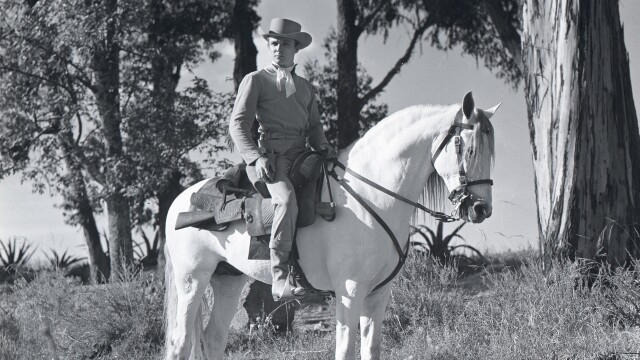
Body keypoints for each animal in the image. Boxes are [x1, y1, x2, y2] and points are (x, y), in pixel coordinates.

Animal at [164, 93, 500, 360]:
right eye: (468, 148)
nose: (481, 209)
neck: (371, 195)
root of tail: (180, 200)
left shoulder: (378, 294)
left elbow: (370, 350)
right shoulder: (349, 291)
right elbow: (345, 350)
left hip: (227, 281)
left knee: (213, 338)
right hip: (192, 280)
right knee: (181, 342)